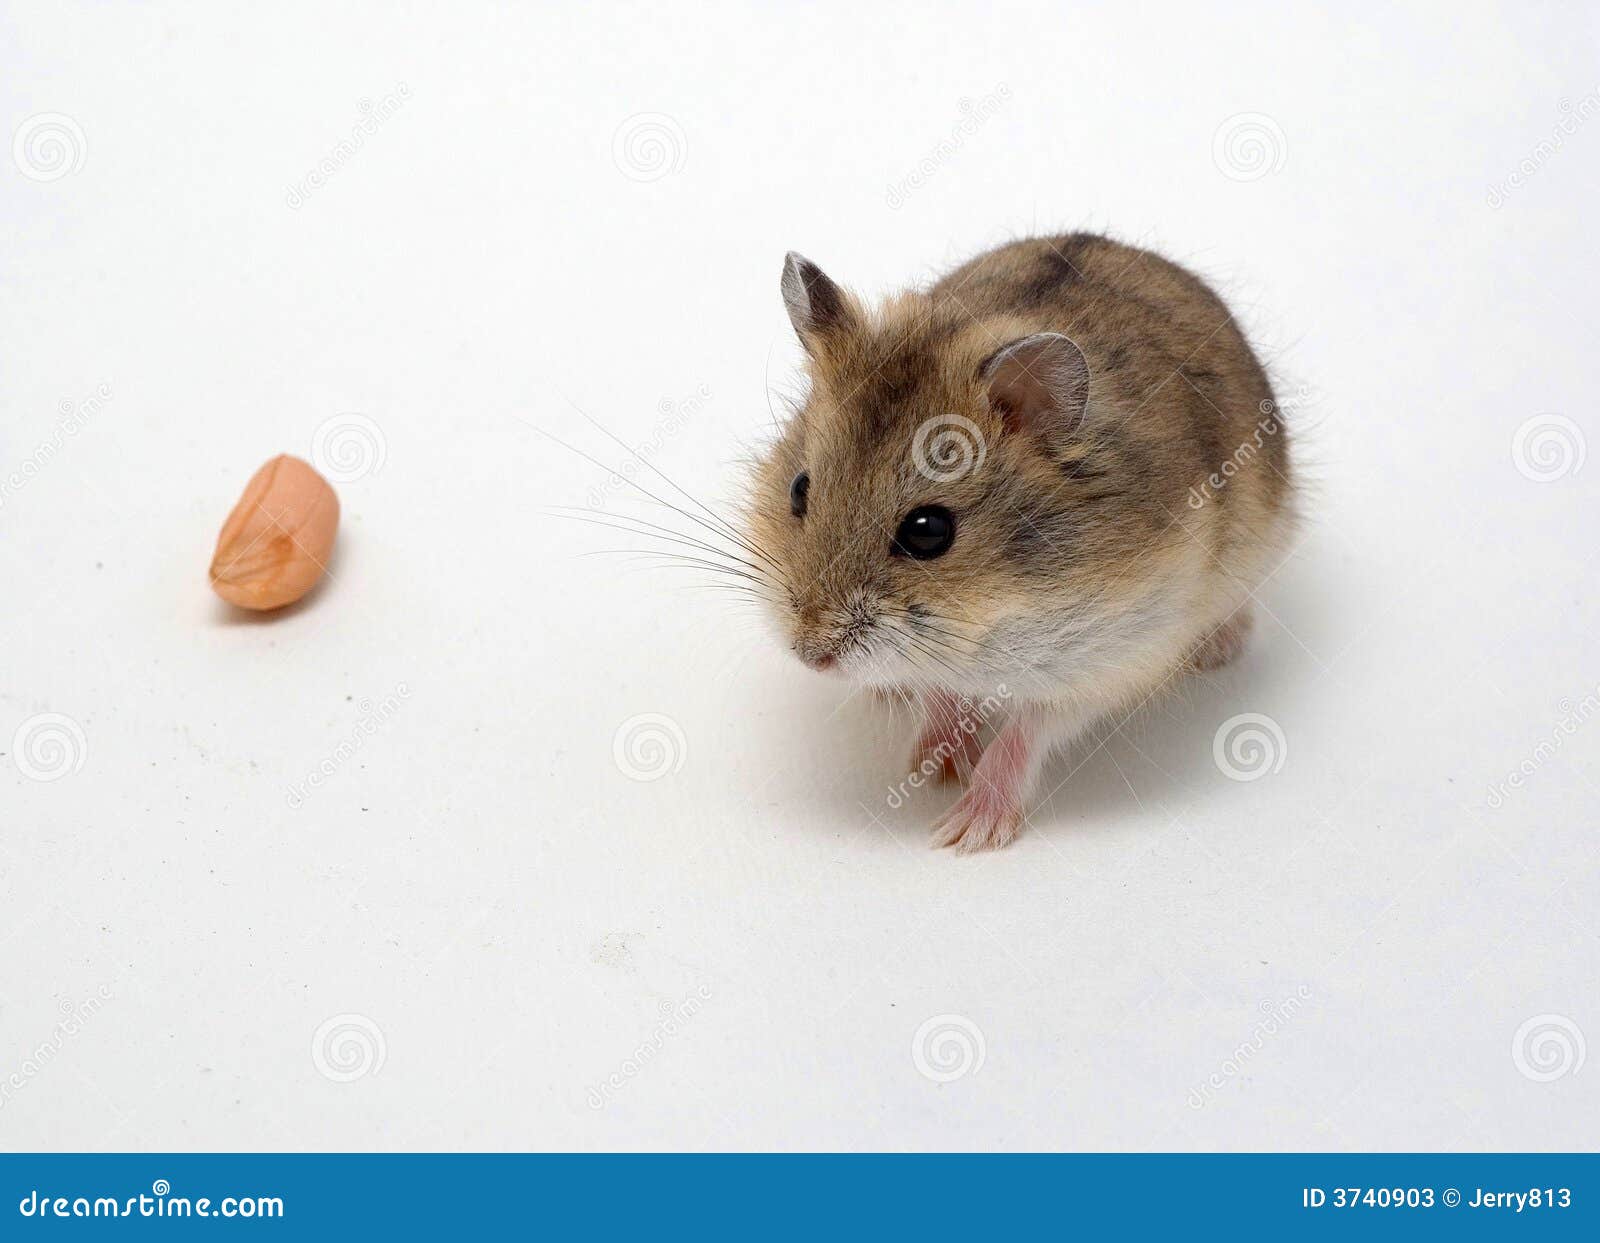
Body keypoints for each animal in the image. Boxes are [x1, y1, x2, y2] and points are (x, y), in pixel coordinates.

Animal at [745, 233, 1292, 852]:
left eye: (928, 531)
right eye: (799, 488)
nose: (811, 656)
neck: (996, 613)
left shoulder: (1109, 657)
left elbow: (1023, 735)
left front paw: (964, 830)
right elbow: (938, 693)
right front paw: (933, 767)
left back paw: (1219, 648)